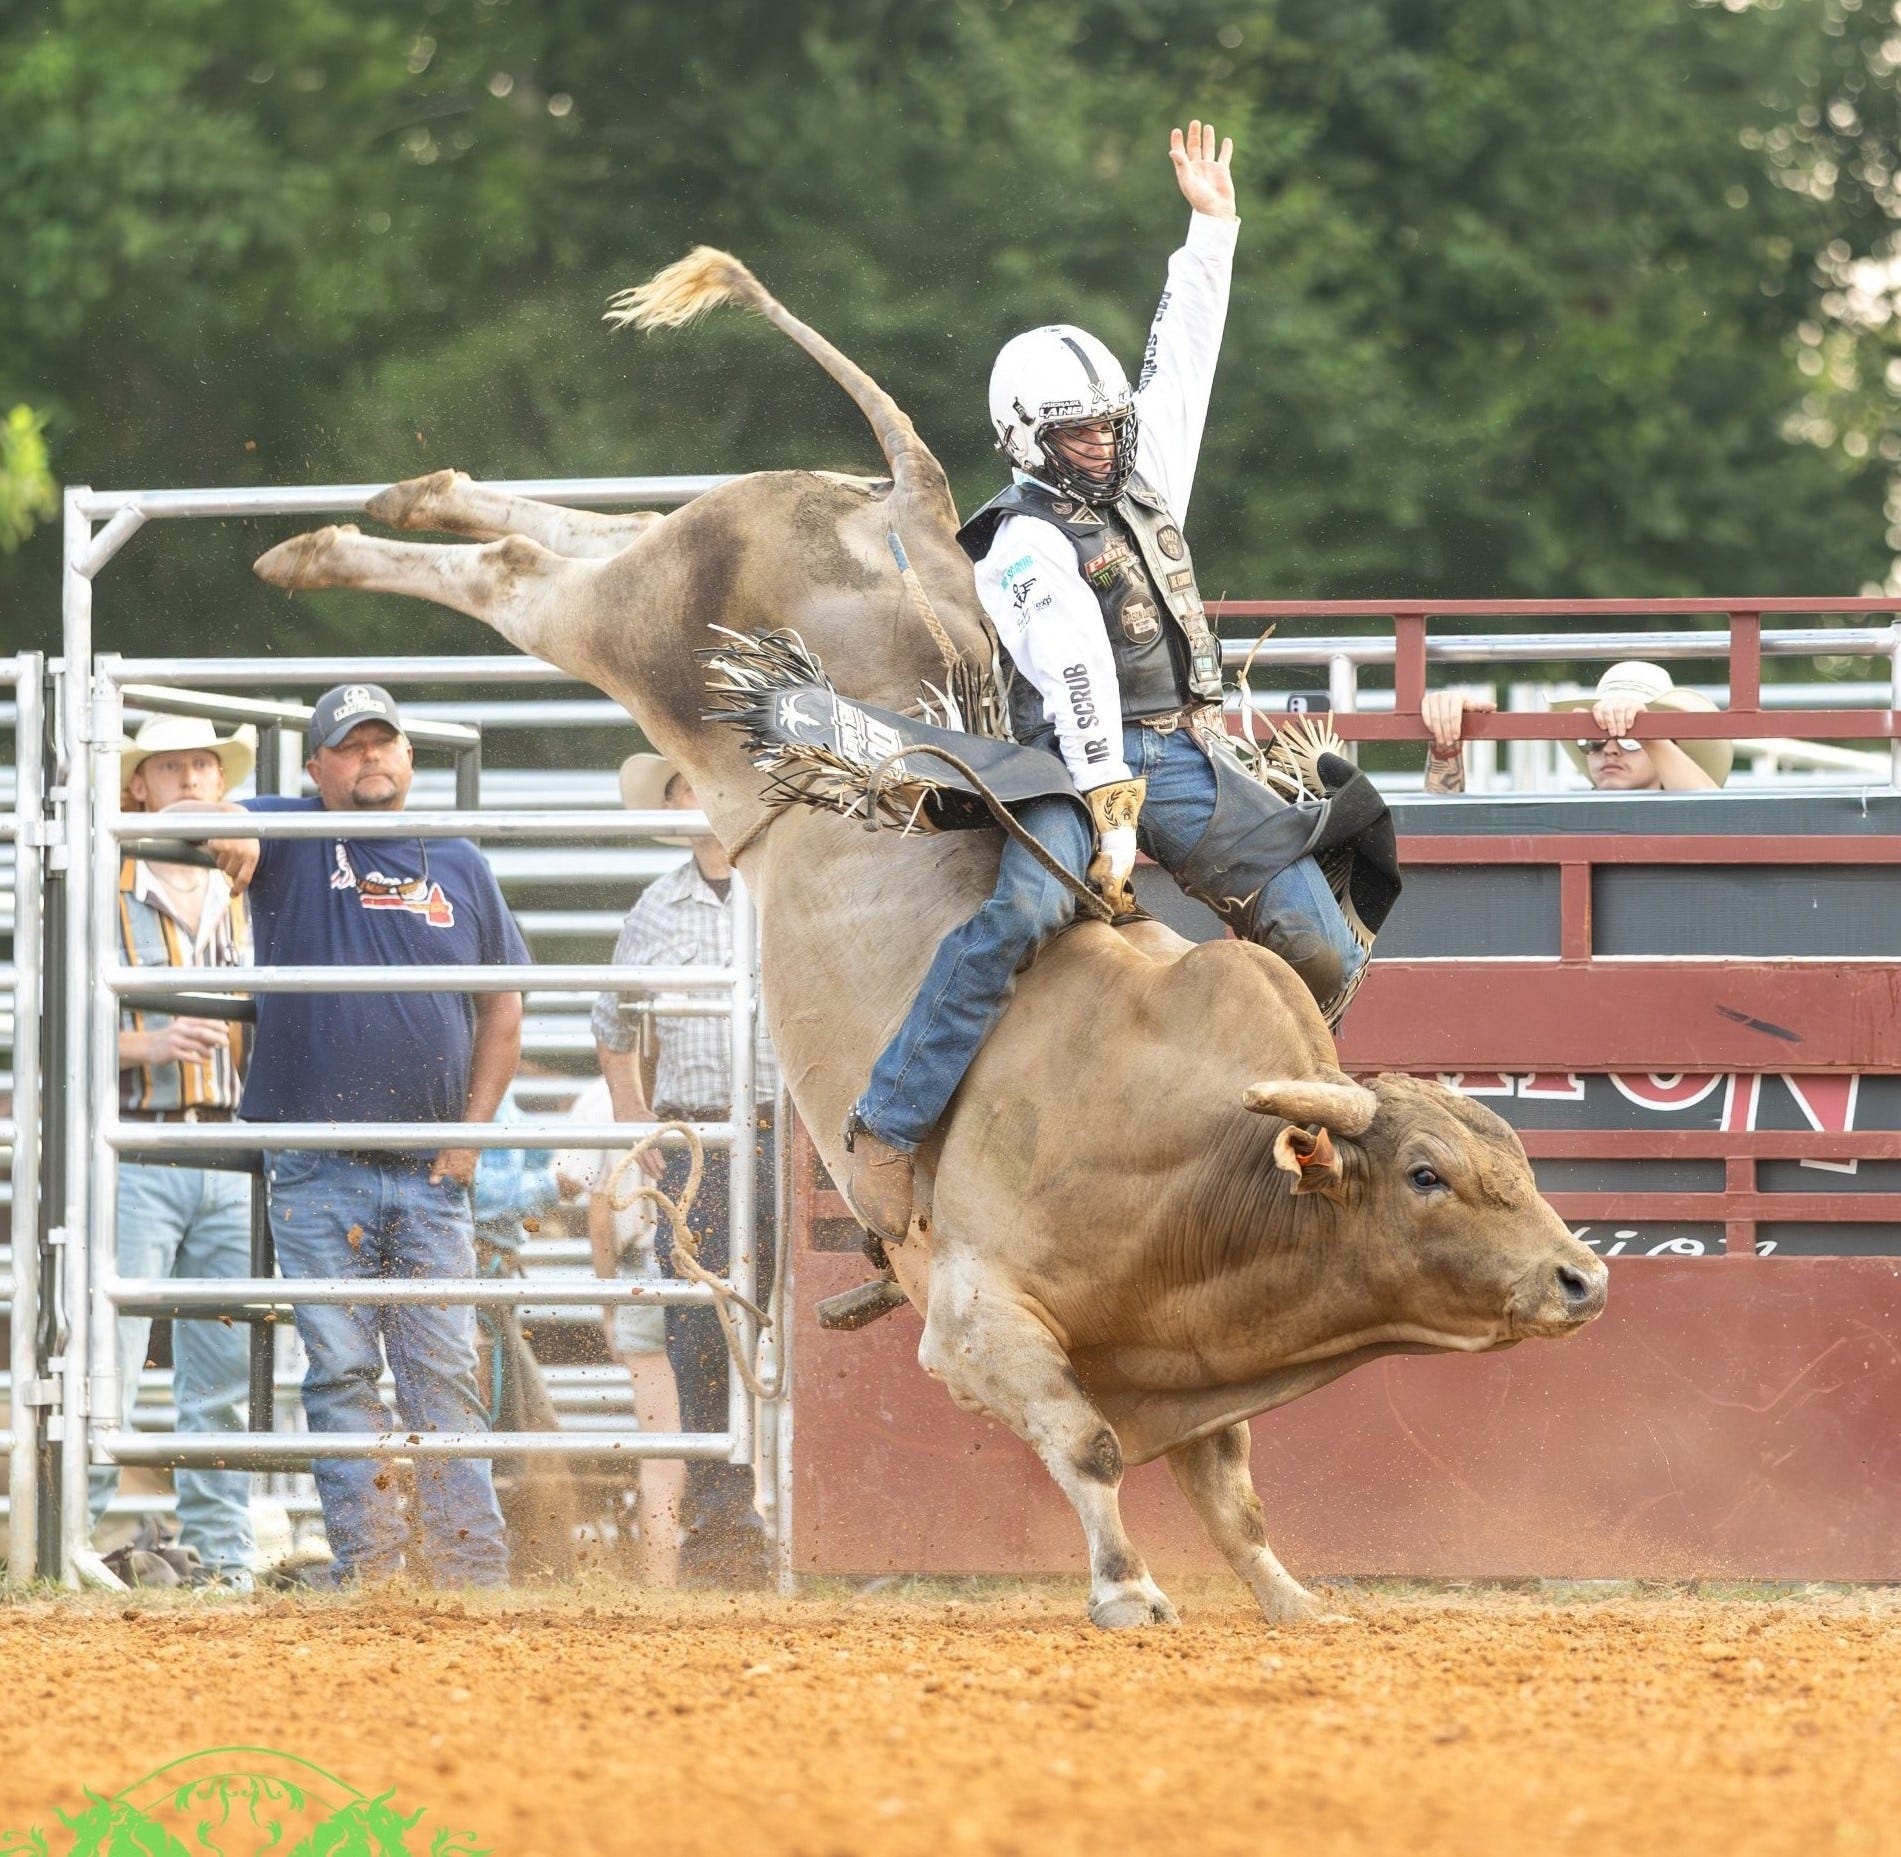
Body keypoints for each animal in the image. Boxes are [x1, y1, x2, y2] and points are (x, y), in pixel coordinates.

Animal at [249, 247, 1607, 1628]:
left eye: (1513, 1161)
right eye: (1425, 1175)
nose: (1580, 1277)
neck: (1192, 1156)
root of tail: (898, 501)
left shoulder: (1188, 1361)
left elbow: (1231, 1492)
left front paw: (1289, 1601)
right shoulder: (971, 1321)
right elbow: (1089, 1444)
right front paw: (1125, 1589)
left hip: (658, 584)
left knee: (565, 532)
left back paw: (402, 497)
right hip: (629, 629)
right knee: (523, 574)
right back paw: (321, 543)